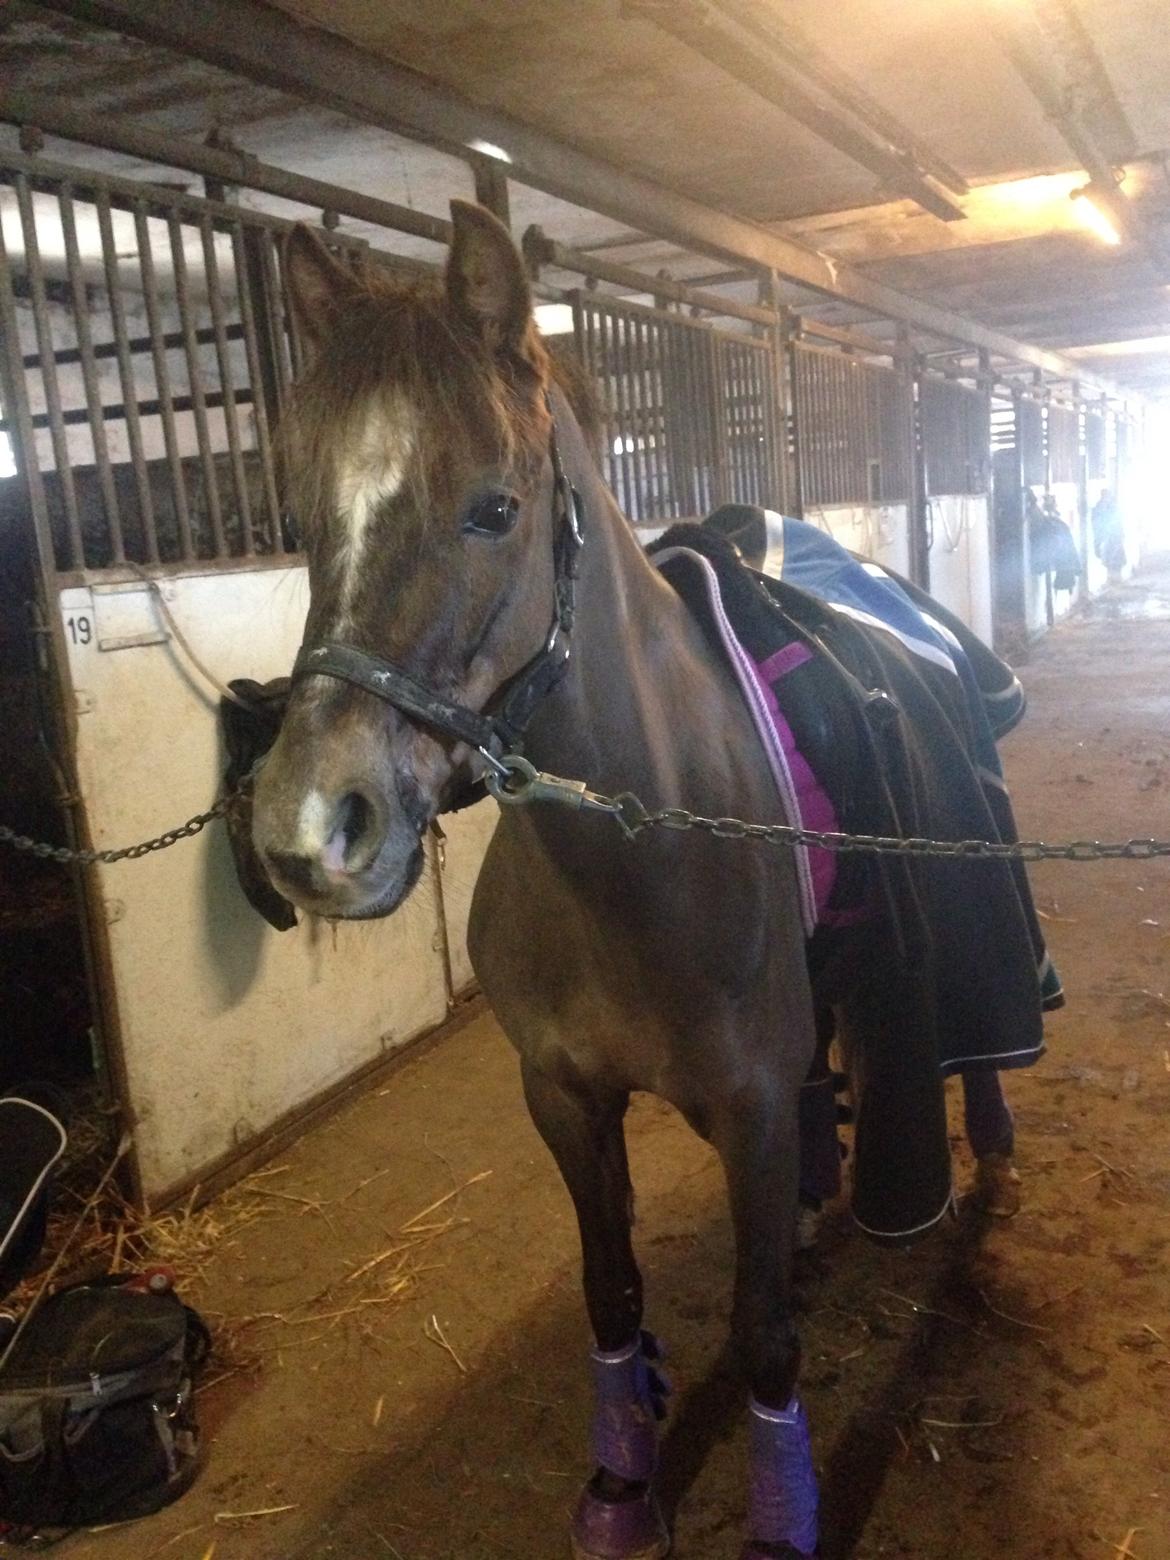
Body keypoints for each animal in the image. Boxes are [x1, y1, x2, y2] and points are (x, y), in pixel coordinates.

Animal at [250, 201, 1029, 1559]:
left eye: (493, 509)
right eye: (302, 509)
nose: (311, 832)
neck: (636, 854)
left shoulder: (753, 1113)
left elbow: (764, 1333)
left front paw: (780, 1518)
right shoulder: (563, 1096)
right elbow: (611, 1291)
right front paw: (622, 1486)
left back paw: (984, 1141)